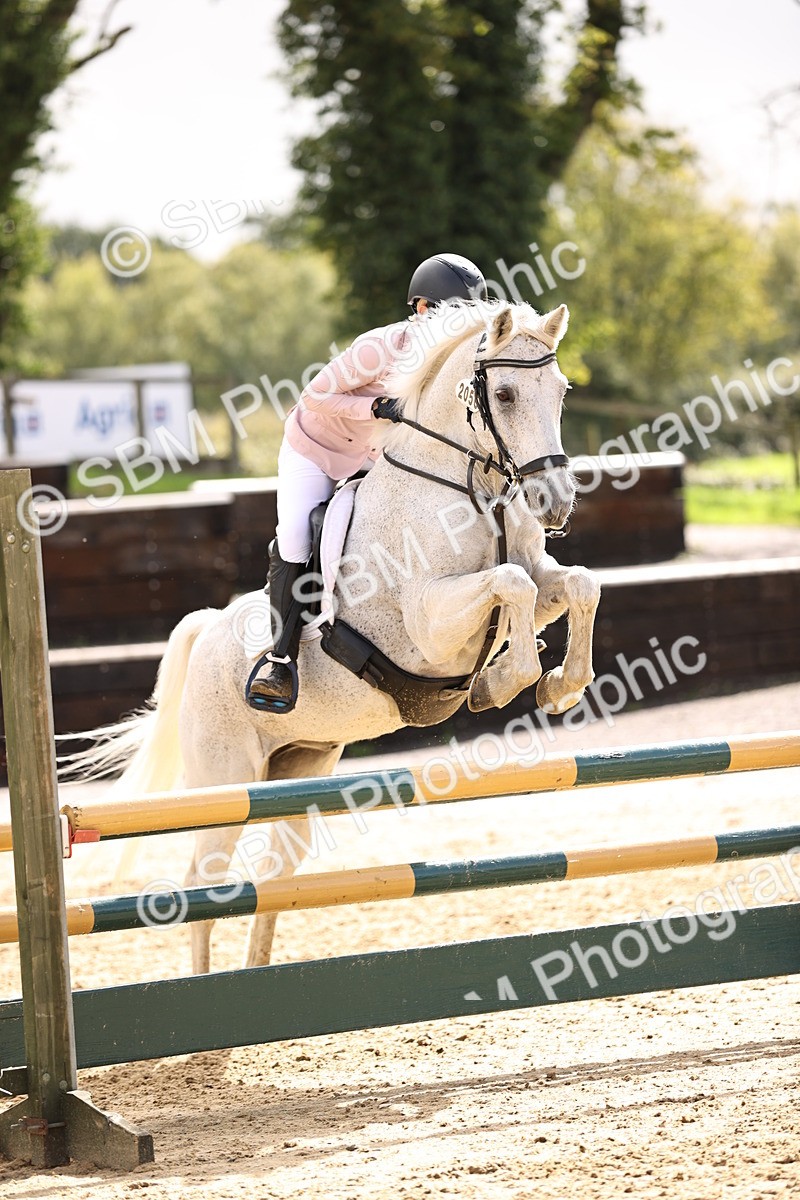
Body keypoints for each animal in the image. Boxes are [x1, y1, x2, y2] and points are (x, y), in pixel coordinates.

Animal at [64, 300, 601, 974]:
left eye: (561, 391)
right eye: (503, 394)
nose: (554, 504)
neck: (464, 489)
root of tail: (209, 627)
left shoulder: (535, 572)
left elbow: (573, 584)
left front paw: (559, 686)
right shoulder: (427, 624)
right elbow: (512, 585)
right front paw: (504, 682)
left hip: (300, 769)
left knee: (273, 878)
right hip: (224, 782)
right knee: (201, 885)